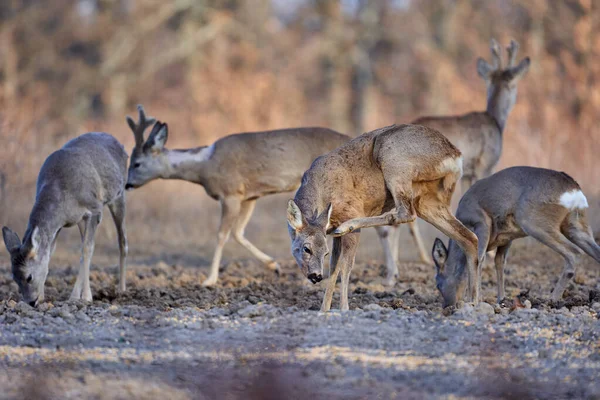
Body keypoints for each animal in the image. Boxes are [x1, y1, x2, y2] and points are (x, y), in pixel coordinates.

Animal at [2, 133, 127, 304]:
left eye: (29, 277)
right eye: (14, 279)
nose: (31, 302)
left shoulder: (95, 208)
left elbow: (87, 249)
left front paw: (85, 297)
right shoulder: (61, 224)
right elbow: (50, 252)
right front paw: (44, 296)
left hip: (119, 196)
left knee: (122, 241)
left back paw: (121, 289)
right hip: (81, 220)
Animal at [124, 104, 350, 286]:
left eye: (136, 163)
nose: (127, 184)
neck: (205, 165)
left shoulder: (230, 193)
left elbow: (222, 234)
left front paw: (209, 280)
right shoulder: (249, 196)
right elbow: (238, 232)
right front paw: (274, 265)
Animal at [288, 123, 480, 310]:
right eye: (307, 249)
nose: (316, 276)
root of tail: (456, 155)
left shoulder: (349, 212)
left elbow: (345, 266)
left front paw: (344, 308)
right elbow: (334, 268)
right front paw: (324, 310)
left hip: (393, 159)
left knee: (406, 213)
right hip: (428, 201)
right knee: (469, 238)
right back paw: (472, 300)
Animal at [428, 165, 596, 306]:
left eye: (438, 284)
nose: (447, 305)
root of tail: (574, 189)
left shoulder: (481, 222)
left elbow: (478, 259)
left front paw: (473, 300)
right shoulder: (506, 238)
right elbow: (499, 262)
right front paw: (500, 299)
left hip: (533, 221)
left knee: (574, 253)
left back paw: (552, 299)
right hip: (576, 224)